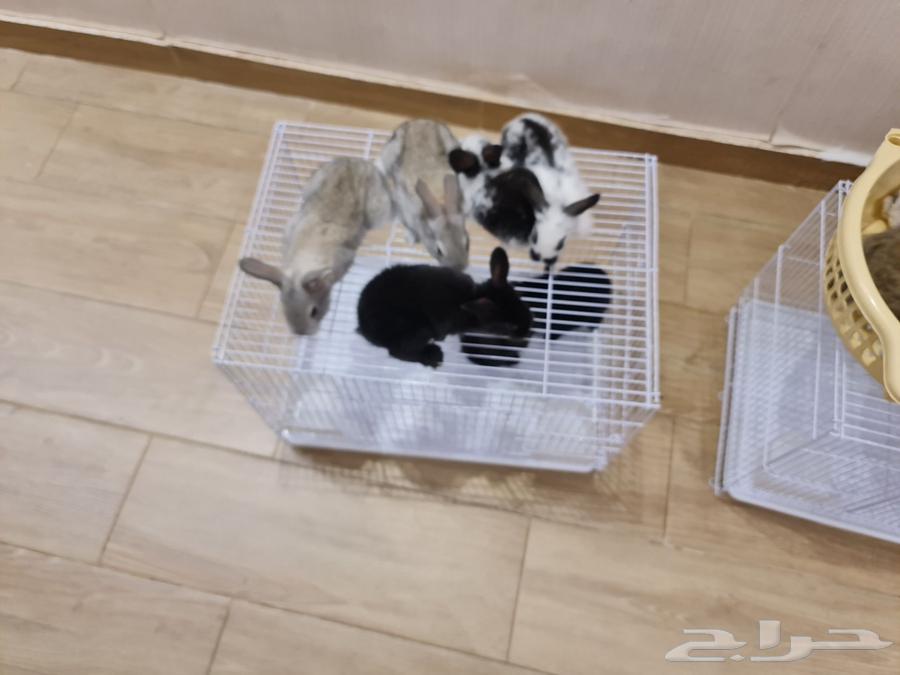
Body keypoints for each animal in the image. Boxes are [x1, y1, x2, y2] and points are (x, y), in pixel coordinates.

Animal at [357, 247, 532, 368]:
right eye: (509, 326)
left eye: (520, 299)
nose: (528, 331)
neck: (472, 297)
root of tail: (363, 329)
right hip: (417, 330)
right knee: (398, 352)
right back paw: (434, 357)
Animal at [377, 119, 469, 269]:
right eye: (439, 250)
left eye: (467, 243)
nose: (459, 268)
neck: (441, 202)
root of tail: (418, 122)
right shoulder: (405, 210)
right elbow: (411, 228)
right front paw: (410, 239)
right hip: (392, 149)